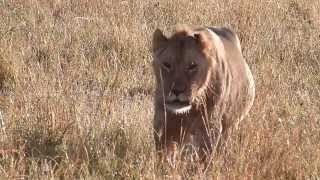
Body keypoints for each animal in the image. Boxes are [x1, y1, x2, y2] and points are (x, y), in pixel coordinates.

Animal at [152, 25, 255, 162]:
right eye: (167, 65)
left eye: (192, 66)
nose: (177, 91)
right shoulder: (164, 127)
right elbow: (164, 157)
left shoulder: (210, 130)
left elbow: (203, 160)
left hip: (229, 126)